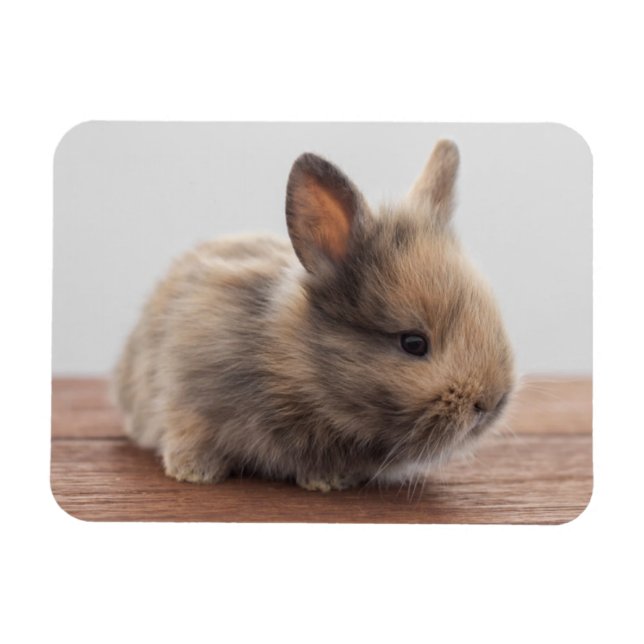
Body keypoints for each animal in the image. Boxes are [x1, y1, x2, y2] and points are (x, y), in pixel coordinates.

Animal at [112, 139, 515, 492]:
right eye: (413, 343)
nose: (490, 403)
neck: (294, 367)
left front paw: (328, 481)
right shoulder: (188, 392)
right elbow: (189, 431)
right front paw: (194, 473)